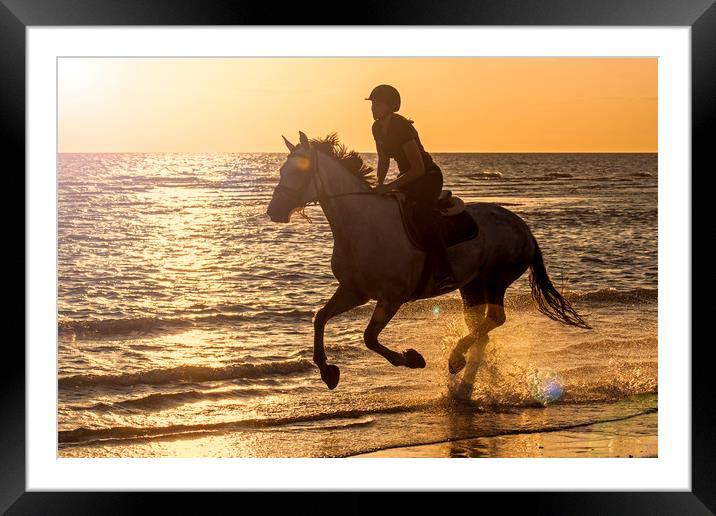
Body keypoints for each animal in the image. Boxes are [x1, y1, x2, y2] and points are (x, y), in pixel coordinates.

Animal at [266, 131, 592, 390]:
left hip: (495, 279)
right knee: (481, 329)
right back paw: (462, 377)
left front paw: (411, 359)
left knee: (495, 320)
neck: (361, 223)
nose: (274, 211)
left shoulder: (391, 297)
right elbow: (320, 318)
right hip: (471, 285)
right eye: (282, 169)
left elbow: (369, 337)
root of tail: (525, 230)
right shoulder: (355, 291)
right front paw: (328, 372)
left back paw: (456, 359)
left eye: (300, 171)